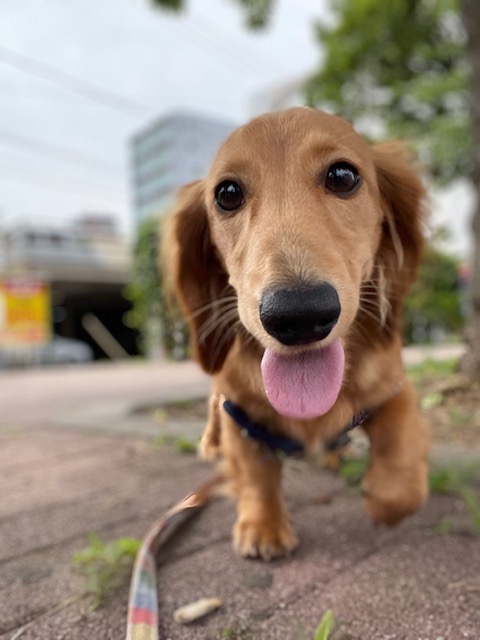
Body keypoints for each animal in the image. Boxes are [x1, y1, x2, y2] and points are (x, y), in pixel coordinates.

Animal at [163, 109, 430, 560]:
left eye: (342, 176)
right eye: (227, 193)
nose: (299, 314)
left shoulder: (395, 388)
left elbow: (401, 453)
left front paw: (385, 500)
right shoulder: (238, 409)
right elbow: (254, 470)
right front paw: (262, 525)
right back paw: (210, 441)